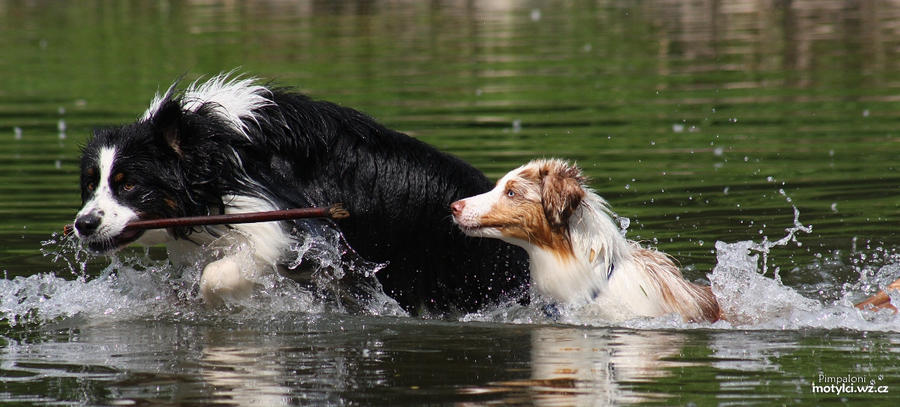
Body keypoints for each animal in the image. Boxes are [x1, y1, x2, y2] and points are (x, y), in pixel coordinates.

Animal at [77, 74, 532, 316]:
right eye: (91, 183)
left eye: (129, 184)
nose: (83, 224)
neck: (219, 148)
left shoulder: (287, 223)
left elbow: (218, 275)